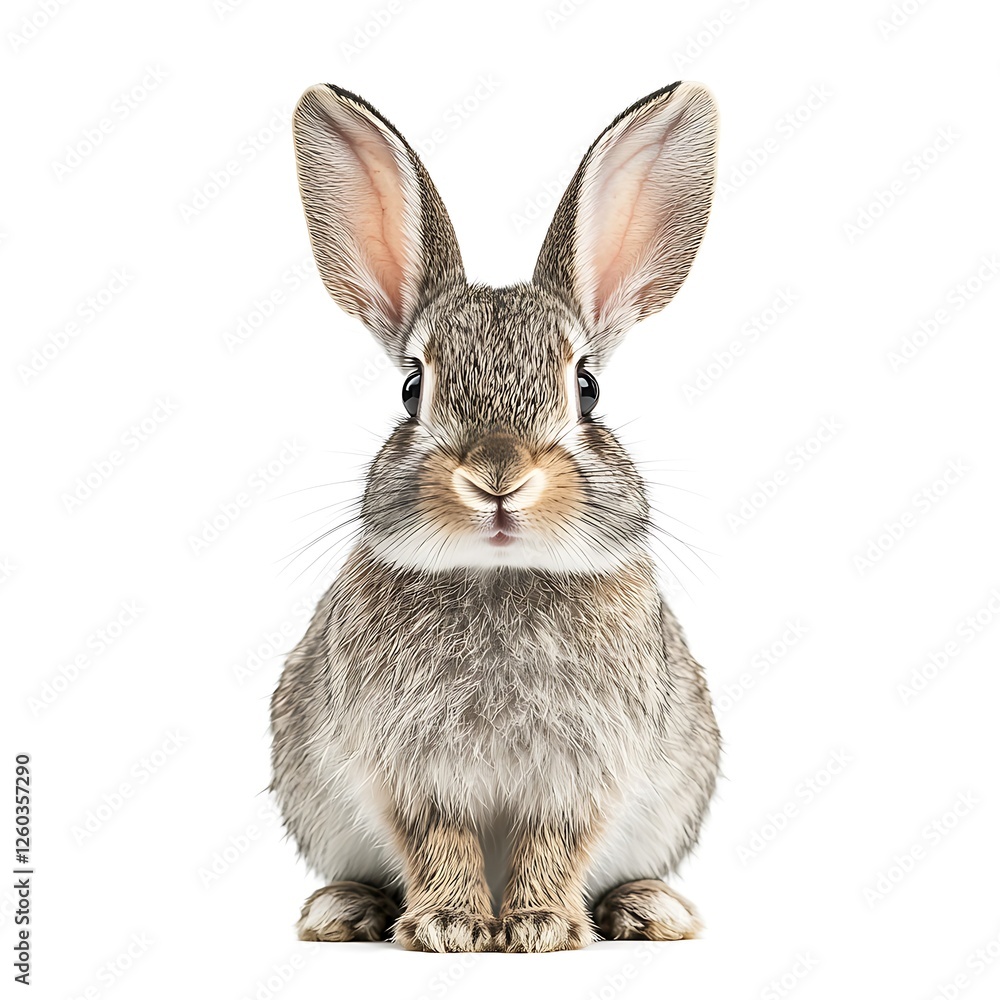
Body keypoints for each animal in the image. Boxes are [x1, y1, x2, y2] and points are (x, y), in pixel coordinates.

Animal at [271, 80, 721, 953]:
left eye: (588, 388)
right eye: (412, 387)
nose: (498, 478)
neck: (499, 573)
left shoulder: (584, 770)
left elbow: (558, 841)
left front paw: (541, 925)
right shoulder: (410, 769)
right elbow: (436, 839)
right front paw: (449, 925)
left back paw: (649, 909)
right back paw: (345, 909)